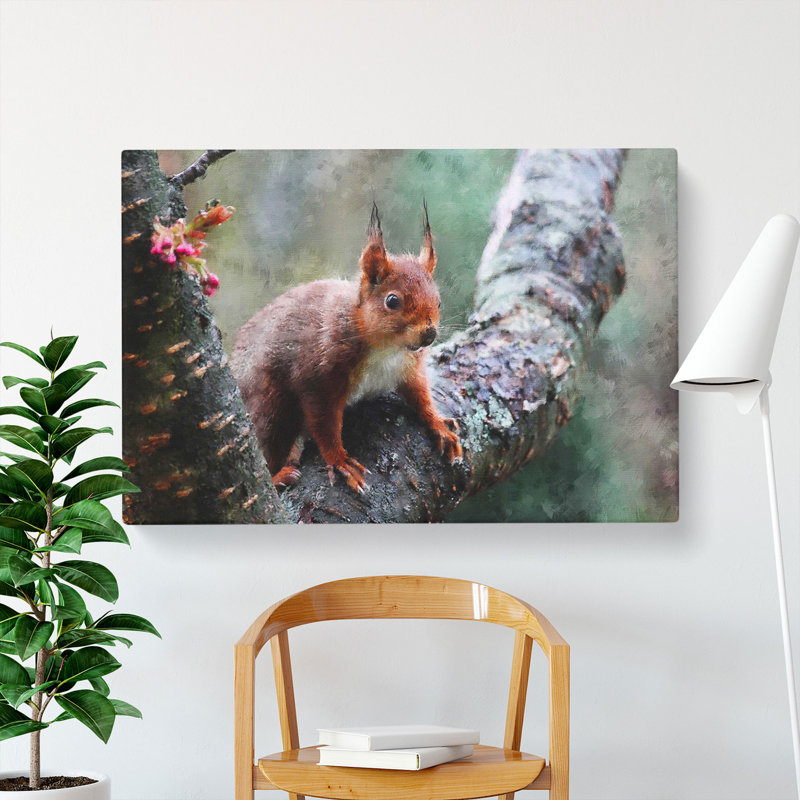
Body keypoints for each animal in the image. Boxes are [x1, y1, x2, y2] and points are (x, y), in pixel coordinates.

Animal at [231, 202, 462, 493]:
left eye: (439, 302)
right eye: (392, 301)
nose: (429, 334)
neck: (388, 348)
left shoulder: (409, 369)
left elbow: (421, 395)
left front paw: (438, 424)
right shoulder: (318, 375)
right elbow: (325, 424)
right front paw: (340, 461)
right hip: (269, 405)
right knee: (268, 448)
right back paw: (279, 476)